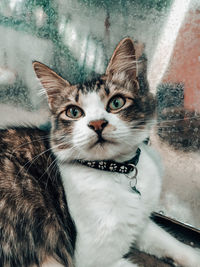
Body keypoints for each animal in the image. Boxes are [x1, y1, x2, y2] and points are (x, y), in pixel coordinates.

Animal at [0, 38, 199, 267]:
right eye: (74, 112)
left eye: (116, 102)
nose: (97, 124)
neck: (116, 170)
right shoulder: (94, 260)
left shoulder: (139, 222)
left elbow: (171, 242)